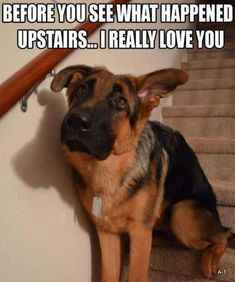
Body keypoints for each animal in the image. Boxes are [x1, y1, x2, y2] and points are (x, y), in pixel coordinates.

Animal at [51, 65, 231, 280]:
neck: (107, 170)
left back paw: (210, 257)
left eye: (121, 102)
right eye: (82, 90)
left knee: (224, 234)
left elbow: (137, 274)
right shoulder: (106, 232)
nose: (75, 121)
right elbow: (108, 274)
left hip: (182, 215)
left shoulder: (138, 231)